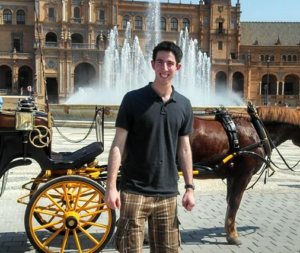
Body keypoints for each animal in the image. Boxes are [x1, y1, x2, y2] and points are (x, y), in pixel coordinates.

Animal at [191, 105, 300, 245]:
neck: (257, 128)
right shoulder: (244, 174)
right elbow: (235, 202)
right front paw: (232, 235)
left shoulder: (232, 175)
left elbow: (229, 201)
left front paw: (230, 229)